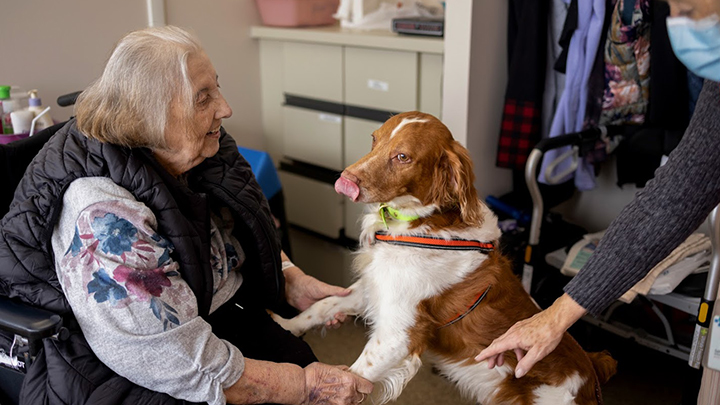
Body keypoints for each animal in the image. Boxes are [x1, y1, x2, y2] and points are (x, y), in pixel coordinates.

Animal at [272, 111, 616, 404]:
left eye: (402, 156)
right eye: (374, 139)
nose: (345, 179)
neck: (419, 224)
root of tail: (591, 373)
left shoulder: (398, 334)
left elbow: (351, 377)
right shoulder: (374, 290)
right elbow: (321, 305)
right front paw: (287, 325)